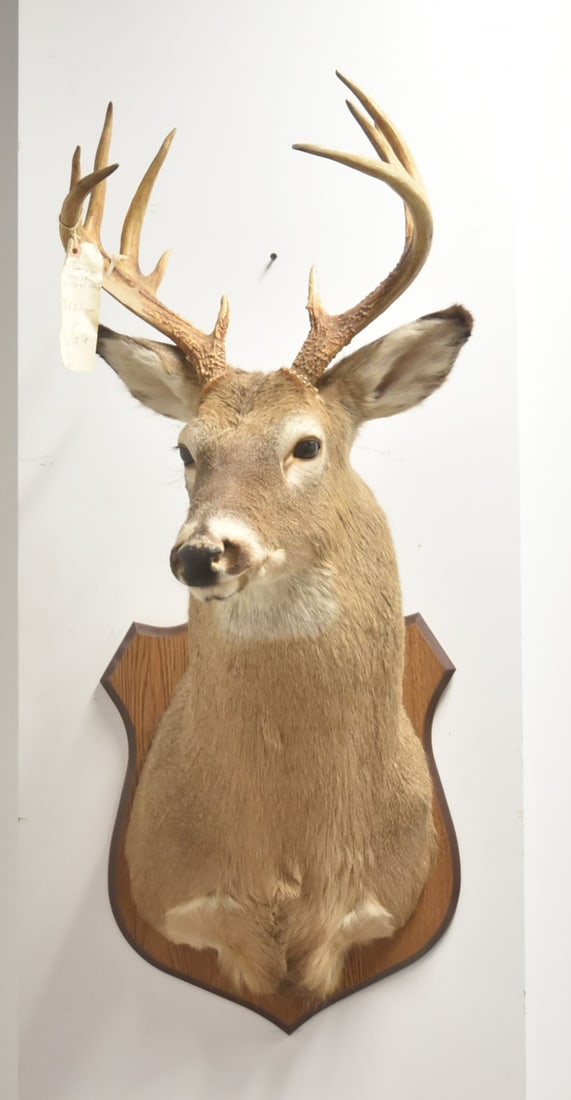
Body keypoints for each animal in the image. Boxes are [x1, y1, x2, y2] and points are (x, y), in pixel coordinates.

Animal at [59, 73, 472, 1000]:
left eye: (306, 445)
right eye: (184, 448)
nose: (201, 551)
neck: (287, 854)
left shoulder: (370, 911)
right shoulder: (185, 904)